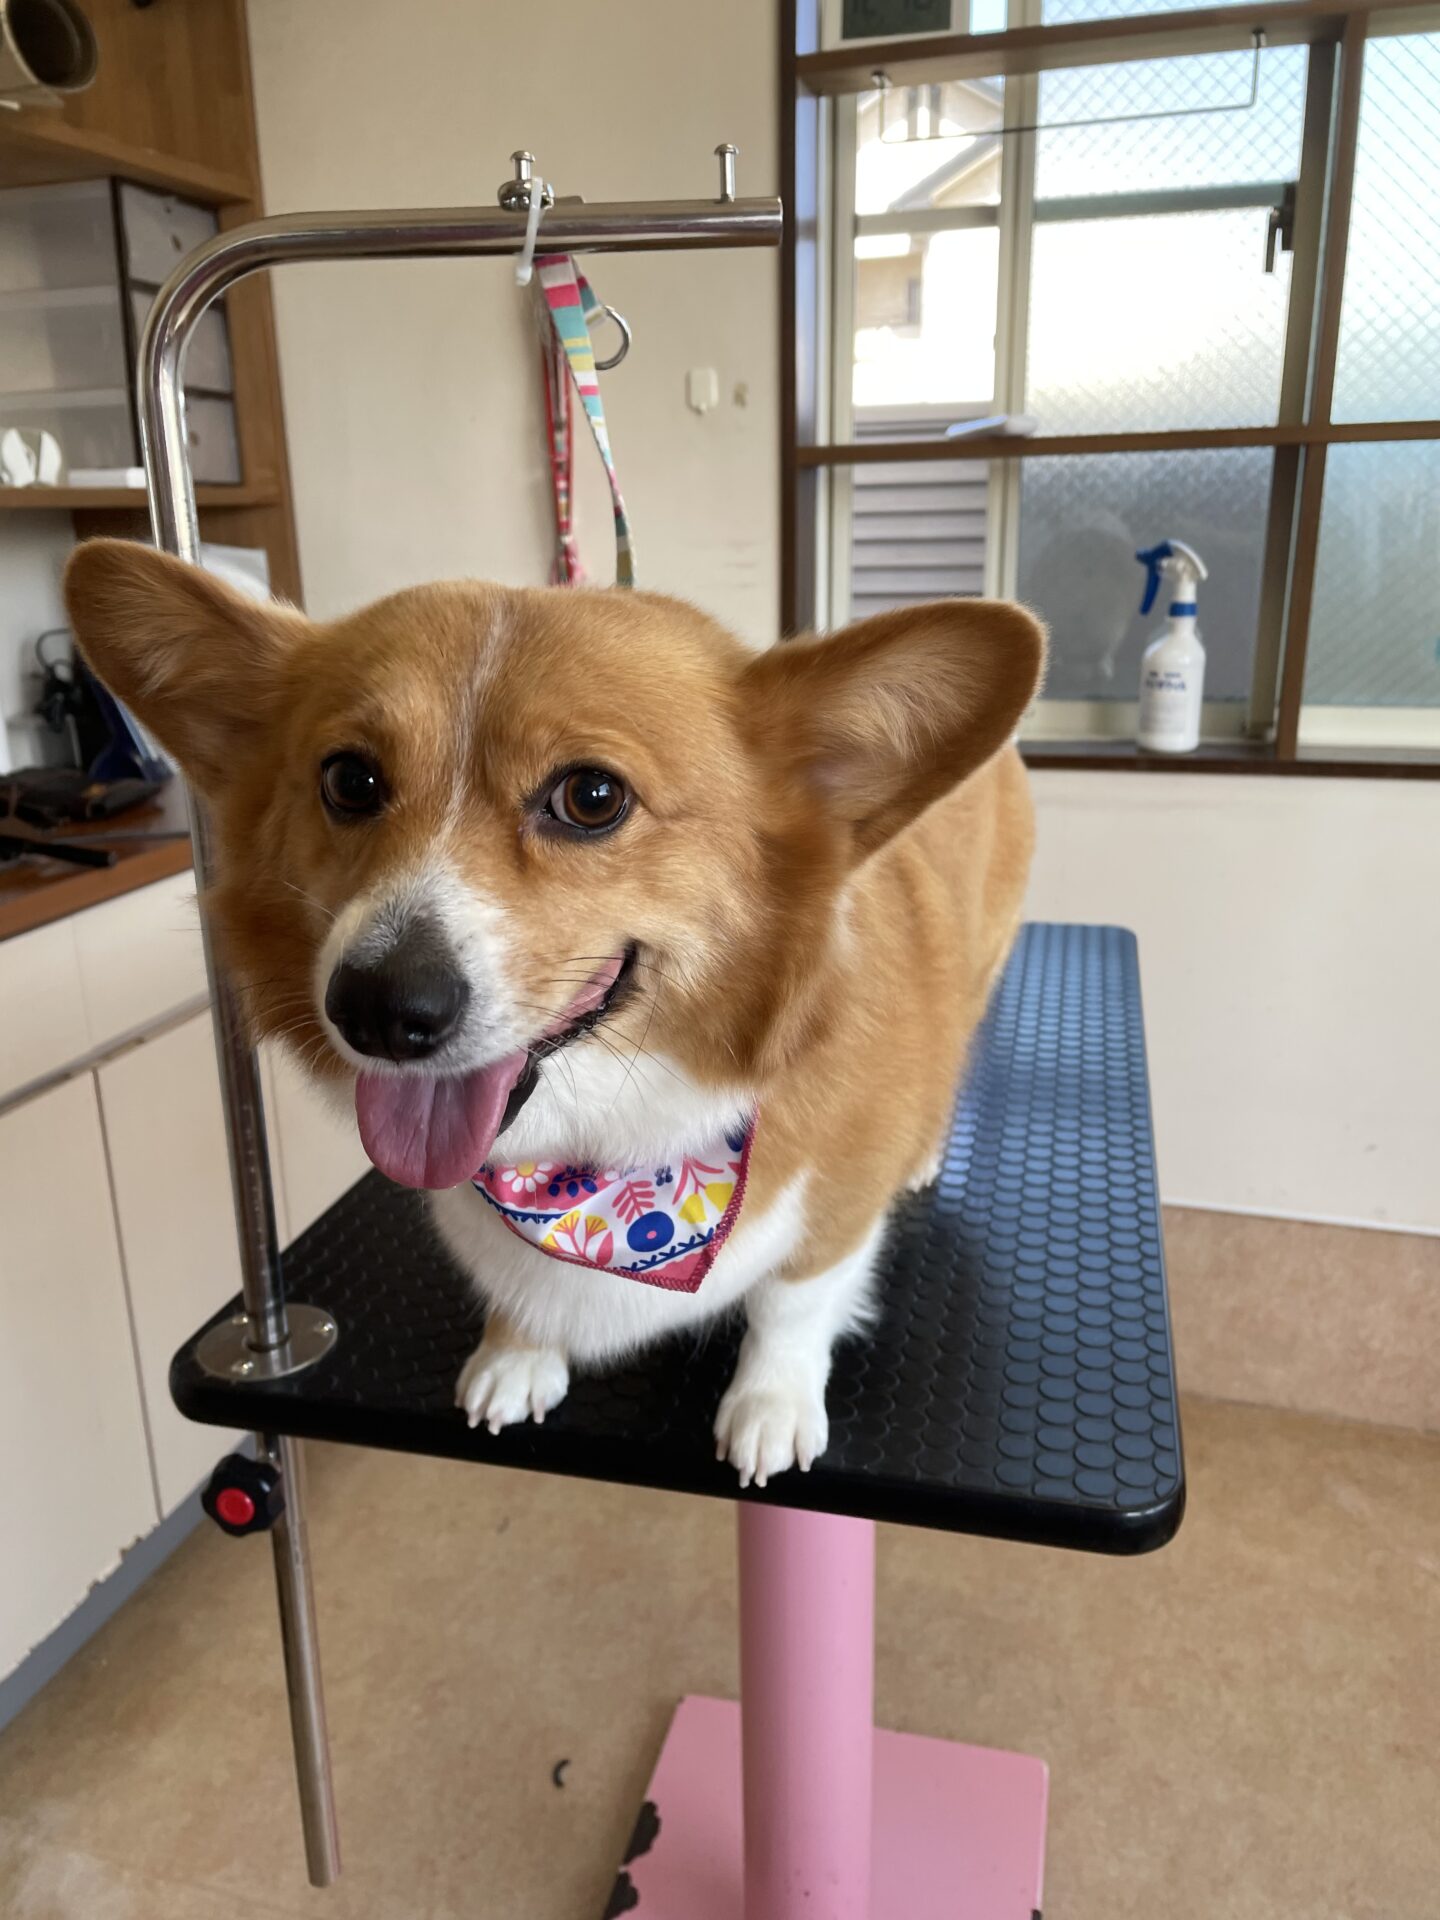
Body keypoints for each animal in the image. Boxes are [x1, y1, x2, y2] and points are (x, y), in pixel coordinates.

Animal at [65, 541, 1044, 1487]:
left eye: (593, 797)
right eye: (349, 780)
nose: (379, 1011)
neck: (593, 1161)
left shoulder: (835, 1213)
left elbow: (794, 1299)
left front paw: (771, 1405)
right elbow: (516, 1288)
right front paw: (517, 1353)